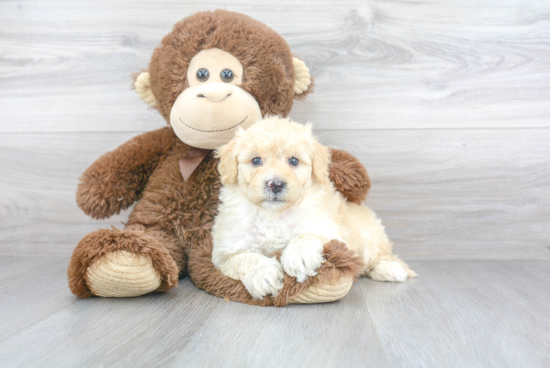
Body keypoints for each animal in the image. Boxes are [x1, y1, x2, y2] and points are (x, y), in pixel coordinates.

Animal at [213, 116, 416, 300]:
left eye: (293, 161)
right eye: (256, 161)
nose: (276, 184)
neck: (274, 215)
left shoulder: (327, 228)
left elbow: (307, 235)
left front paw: (299, 257)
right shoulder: (224, 252)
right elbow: (243, 258)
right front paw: (263, 275)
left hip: (368, 236)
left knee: (380, 256)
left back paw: (391, 269)